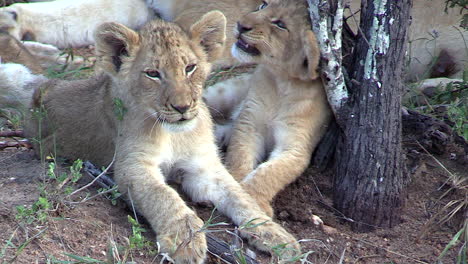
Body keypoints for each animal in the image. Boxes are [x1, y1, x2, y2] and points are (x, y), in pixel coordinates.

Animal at [0, 11, 300, 262]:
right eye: (153, 74)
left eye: (190, 68)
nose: (182, 107)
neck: (175, 134)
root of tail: (40, 94)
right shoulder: (132, 166)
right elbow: (163, 196)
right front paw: (184, 241)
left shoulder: (205, 168)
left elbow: (240, 197)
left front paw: (276, 236)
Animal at [203, 0, 330, 217]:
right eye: (263, 5)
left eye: (280, 24)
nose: (241, 24)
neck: (283, 85)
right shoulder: (249, 123)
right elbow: (240, 156)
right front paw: (237, 187)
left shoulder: (295, 147)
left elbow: (270, 173)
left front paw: (251, 198)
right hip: (224, 92)